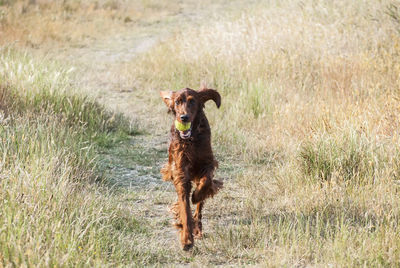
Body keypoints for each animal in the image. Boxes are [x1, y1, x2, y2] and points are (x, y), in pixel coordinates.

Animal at [159, 88, 223, 251]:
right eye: (177, 102)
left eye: (192, 101)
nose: (184, 117)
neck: (191, 139)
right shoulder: (181, 173)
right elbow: (184, 207)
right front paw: (187, 239)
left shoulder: (208, 163)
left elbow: (206, 183)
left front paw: (196, 196)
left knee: (200, 207)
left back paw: (198, 227)